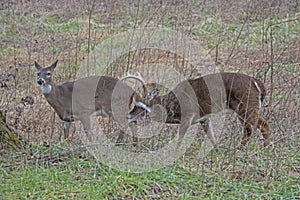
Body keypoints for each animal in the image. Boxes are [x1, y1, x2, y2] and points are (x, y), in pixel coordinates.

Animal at [125, 72, 270, 148]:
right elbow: (212, 138)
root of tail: (258, 83)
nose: (128, 116)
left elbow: (180, 139)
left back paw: (264, 148)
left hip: (247, 108)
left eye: (141, 106)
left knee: (263, 125)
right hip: (242, 111)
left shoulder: (187, 117)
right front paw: (217, 151)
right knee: (249, 130)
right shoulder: (204, 118)